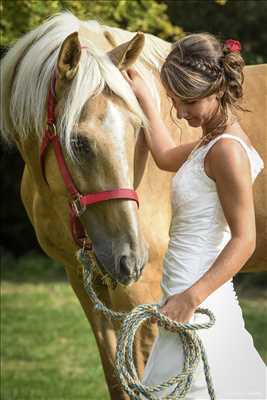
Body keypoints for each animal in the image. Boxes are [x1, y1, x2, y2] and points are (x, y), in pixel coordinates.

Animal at [1, 11, 266, 400]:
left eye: (138, 129)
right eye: (78, 143)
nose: (131, 259)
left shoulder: (146, 293)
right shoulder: (85, 284)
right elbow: (118, 377)